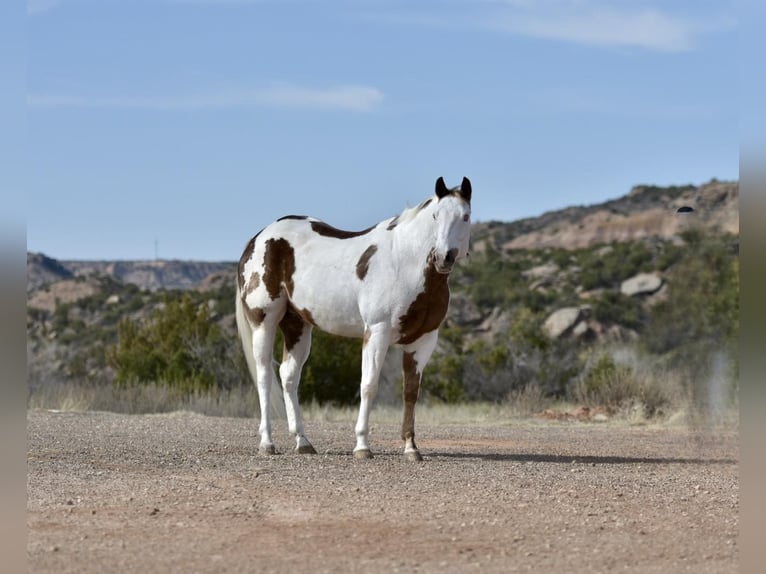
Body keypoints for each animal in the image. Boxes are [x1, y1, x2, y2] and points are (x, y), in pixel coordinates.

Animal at [236, 178, 474, 462]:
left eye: (465, 216)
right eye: (436, 216)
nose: (442, 257)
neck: (404, 263)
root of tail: (259, 237)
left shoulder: (423, 341)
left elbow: (410, 392)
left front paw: (411, 448)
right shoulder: (377, 333)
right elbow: (368, 386)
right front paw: (362, 446)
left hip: (297, 325)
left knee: (288, 375)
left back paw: (302, 442)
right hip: (264, 320)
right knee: (264, 375)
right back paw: (267, 443)